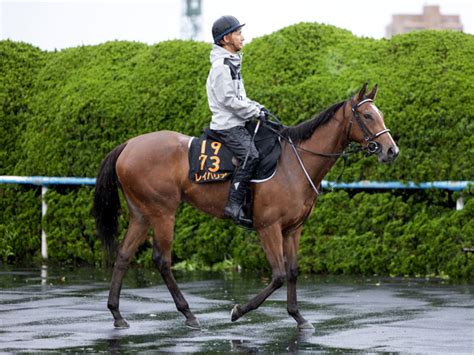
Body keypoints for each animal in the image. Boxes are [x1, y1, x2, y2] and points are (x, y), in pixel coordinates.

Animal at [92, 83, 400, 330]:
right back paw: (188, 314)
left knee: (123, 255)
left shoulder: (293, 229)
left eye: (380, 114)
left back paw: (117, 314)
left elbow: (292, 272)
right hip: (162, 212)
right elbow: (278, 276)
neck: (295, 162)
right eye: (368, 116)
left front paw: (298, 317)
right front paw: (239, 310)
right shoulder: (268, 228)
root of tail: (129, 145)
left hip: (141, 213)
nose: (391, 150)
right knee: (162, 260)